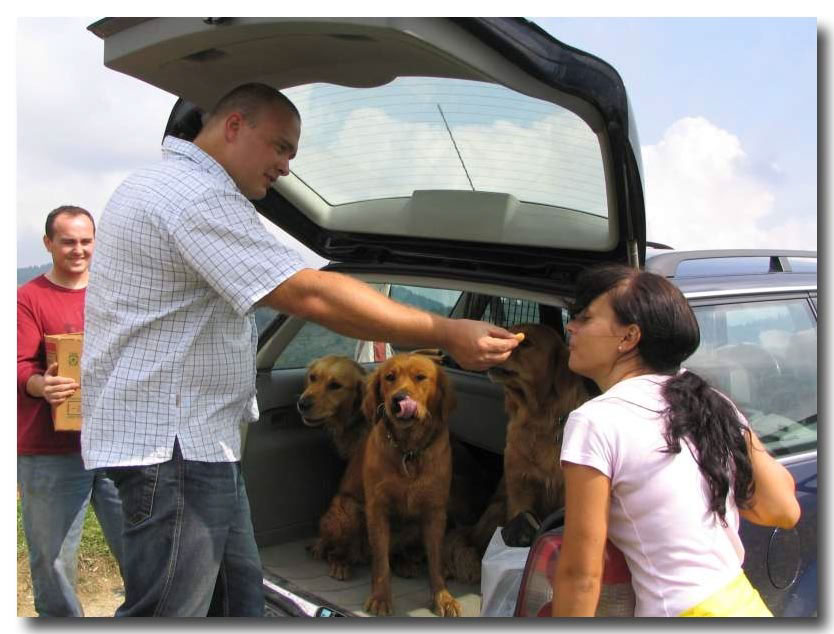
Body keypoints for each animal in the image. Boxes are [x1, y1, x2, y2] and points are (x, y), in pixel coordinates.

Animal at [361, 353, 461, 617]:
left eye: (420, 377)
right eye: (389, 377)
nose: (399, 399)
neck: (409, 450)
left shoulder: (435, 511)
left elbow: (435, 559)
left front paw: (443, 597)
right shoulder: (377, 508)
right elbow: (380, 561)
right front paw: (381, 597)